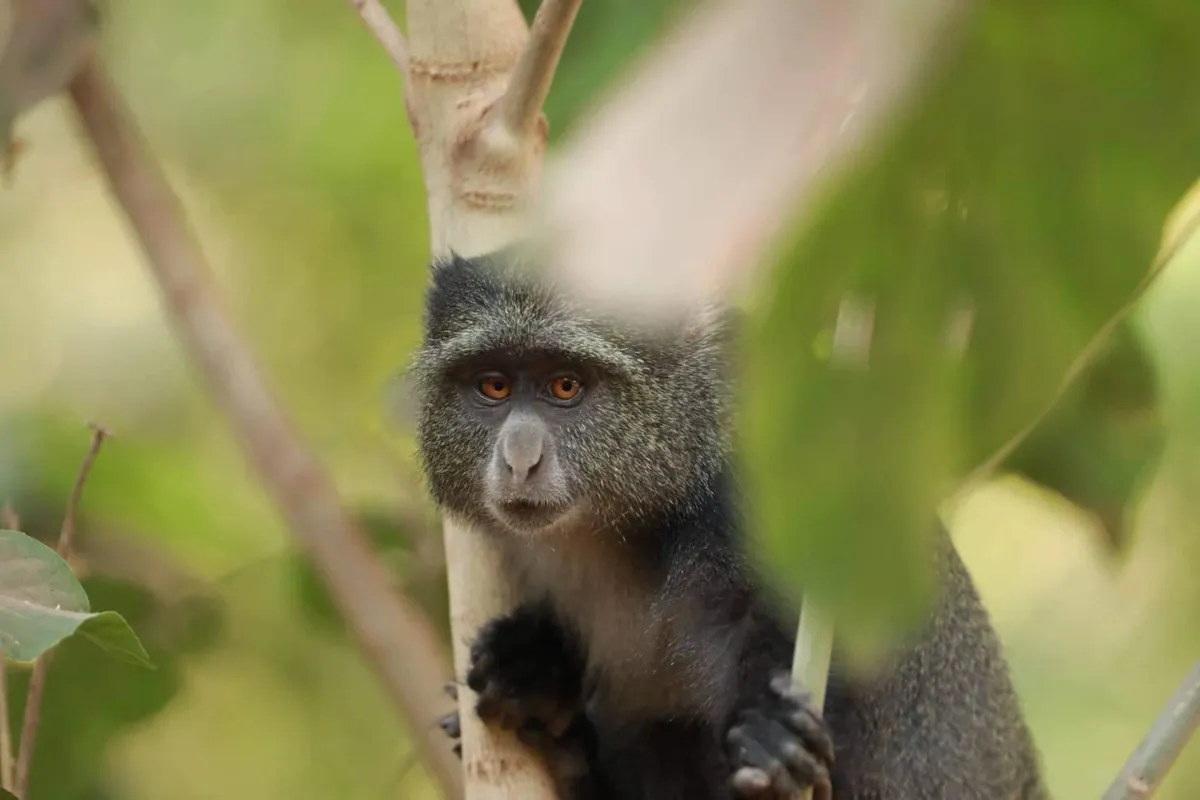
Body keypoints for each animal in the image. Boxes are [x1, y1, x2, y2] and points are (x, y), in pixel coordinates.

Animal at [409, 250, 1047, 799]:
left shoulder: (756, 497)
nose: (520, 459)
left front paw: (772, 738)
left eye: (566, 385)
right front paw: (528, 666)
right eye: (494, 385)